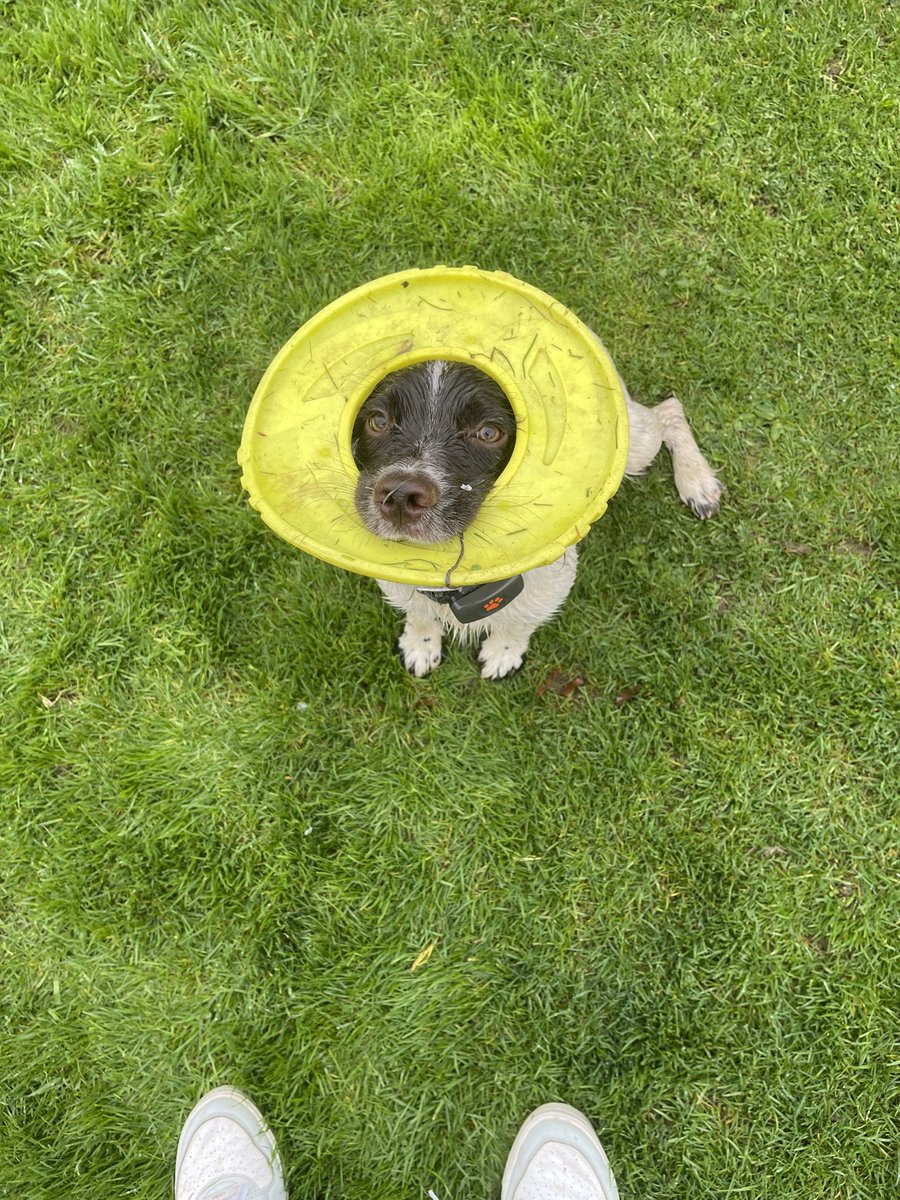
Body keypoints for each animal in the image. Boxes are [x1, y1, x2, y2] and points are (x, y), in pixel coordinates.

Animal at [348, 355, 724, 681]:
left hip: (635, 445)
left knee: (668, 410)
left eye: (488, 432)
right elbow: (418, 612)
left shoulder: (550, 585)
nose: (400, 496)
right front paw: (420, 645)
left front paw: (503, 653)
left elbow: (518, 621)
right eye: (378, 421)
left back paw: (698, 484)